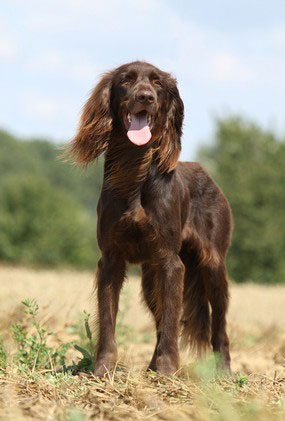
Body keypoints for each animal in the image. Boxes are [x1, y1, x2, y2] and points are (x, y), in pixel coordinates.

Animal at [68, 60, 231, 376]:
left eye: (157, 83)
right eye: (126, 80)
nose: (146, 97)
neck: (134, 169)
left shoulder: (170, 261)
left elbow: (170, 321)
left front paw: (168, 371)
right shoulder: (111, 260)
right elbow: (108, 319)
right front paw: (103, 370)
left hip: (213, 266)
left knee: (219, 328)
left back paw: (224, 374)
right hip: (149, 278)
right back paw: (152, 367)